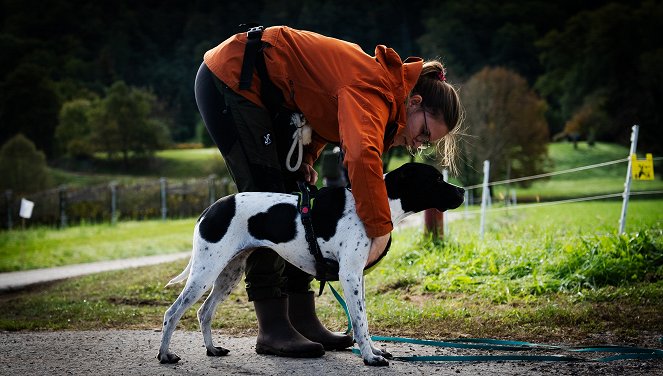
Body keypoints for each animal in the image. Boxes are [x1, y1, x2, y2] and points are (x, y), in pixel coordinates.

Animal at [158, 163, 464, 366]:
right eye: (437, 179)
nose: (462, 191)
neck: (375, 203)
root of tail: (210, 209)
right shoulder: (350, 275)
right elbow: (360, 322)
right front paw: (369, 357)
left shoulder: (359, 277)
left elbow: (363, 319)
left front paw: (374, 351)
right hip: (205, 272)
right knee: (172, 312)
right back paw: (165, 355)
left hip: (228, 273)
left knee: (204, 312)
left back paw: (212, 350)